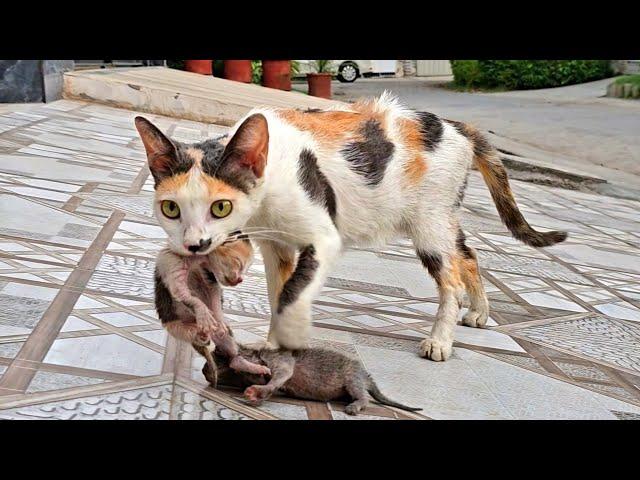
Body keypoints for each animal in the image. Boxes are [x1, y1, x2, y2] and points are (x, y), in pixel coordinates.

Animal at [135, 94, 564, 362]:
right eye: (170, 209)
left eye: (221, 207)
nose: (195, 244)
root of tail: (460, 128)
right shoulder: (277, 248)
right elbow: (279, 294)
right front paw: (275, 345)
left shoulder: (323, 238)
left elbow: (293, 293)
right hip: (442, 218)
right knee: (469, 254)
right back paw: (479, 312)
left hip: (429, 223)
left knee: (452, 280)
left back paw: (440, 341)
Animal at [155, 236, 270, 386]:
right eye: (238, 263)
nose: (240, 279)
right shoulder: (171, 262)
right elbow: (181, 292)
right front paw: (203, 313)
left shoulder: (208, 274)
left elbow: (214, 291)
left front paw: (218, 319)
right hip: (176, 329)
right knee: (192, 333)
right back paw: (201, 335)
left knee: (227, 343)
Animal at [208, 344, 422, 416]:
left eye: (218, 356)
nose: (204, 369)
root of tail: (364, 374)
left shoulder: (282, 361)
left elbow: (280, 375)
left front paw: (257, 391)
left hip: (352, 378)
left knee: (363, 397)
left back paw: (355, 405)